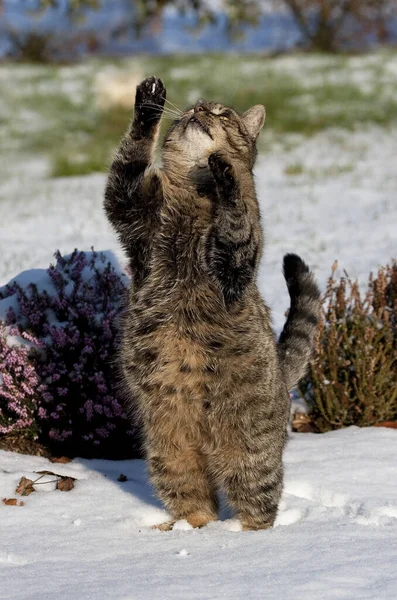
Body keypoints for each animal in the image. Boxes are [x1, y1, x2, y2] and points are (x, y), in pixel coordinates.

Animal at [103, 75, 320, 528]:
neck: (193, 185)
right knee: (197, 501)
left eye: (221, 113)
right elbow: (130, 158)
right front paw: (148, 105)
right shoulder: (130, 206)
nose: (199, 110)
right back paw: (193, 531)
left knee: (258, 507)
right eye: (192, 109)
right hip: (169, 455)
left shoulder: (235, 260)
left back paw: (246, 536)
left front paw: (229, 178)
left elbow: (236, 216)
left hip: (250, 456)